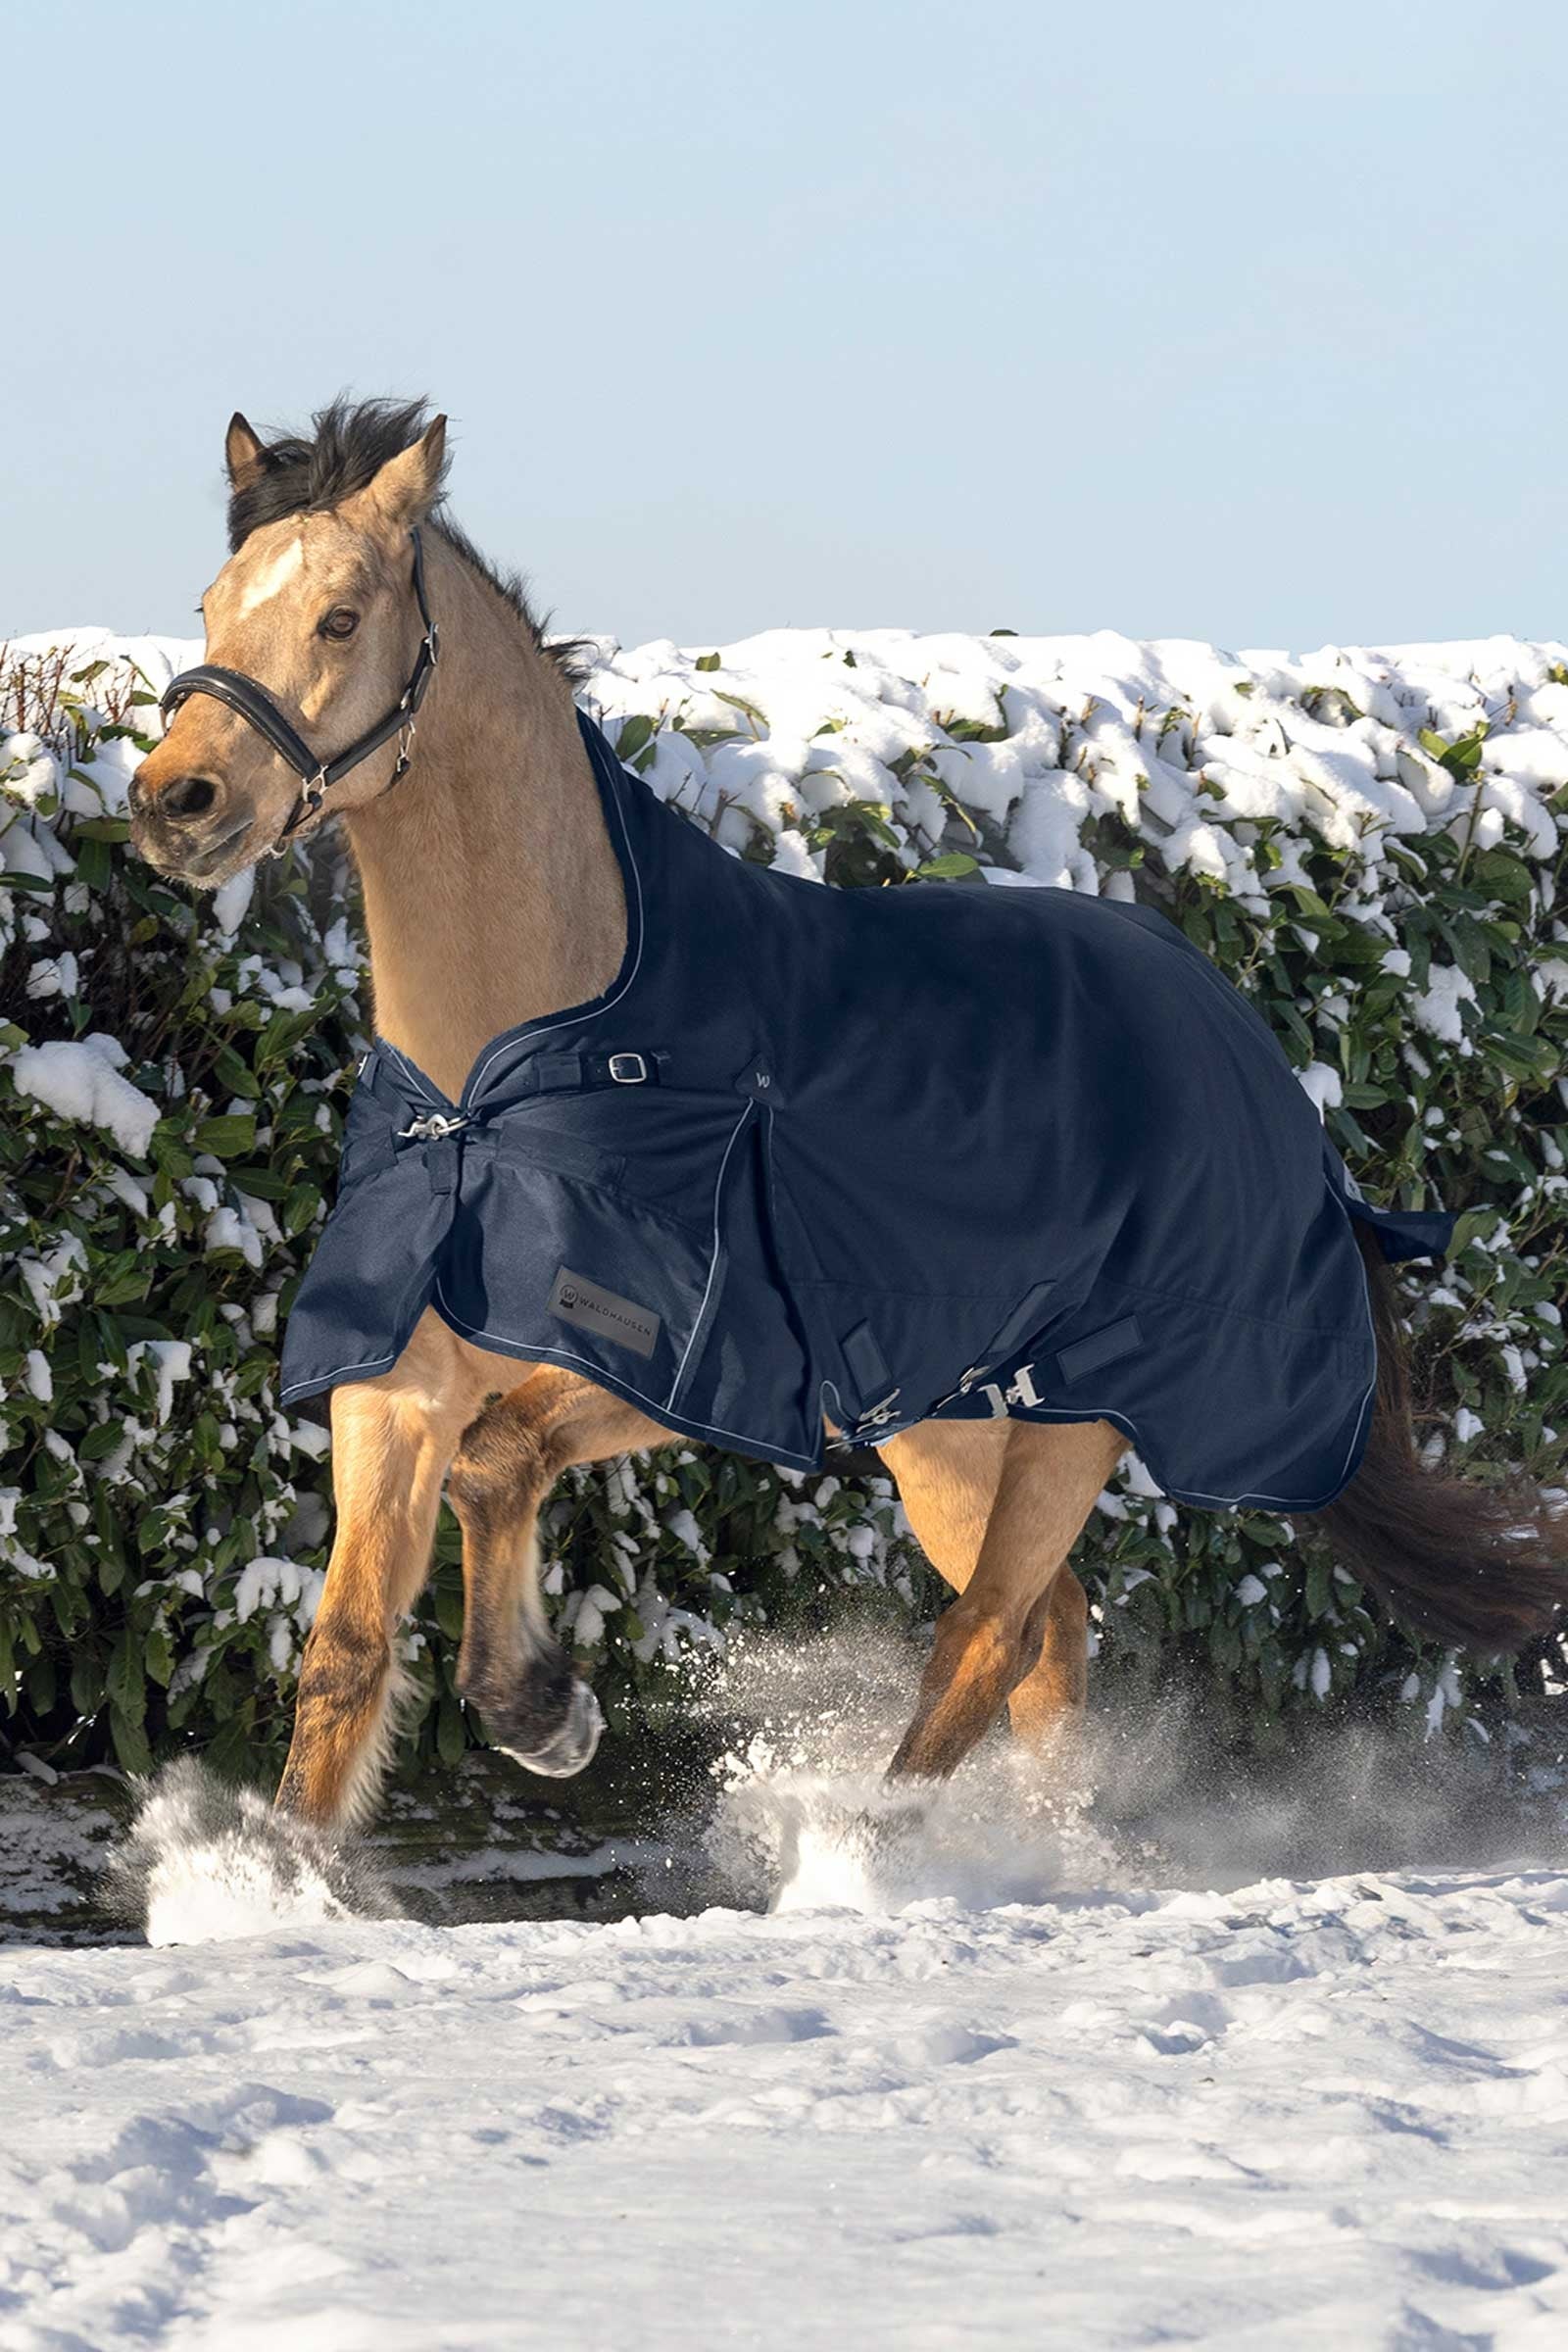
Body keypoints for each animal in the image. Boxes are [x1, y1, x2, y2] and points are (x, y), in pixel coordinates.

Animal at [128, 398, 1568, 1838]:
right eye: (210, 607)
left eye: (340, 617)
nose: (173, 803)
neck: (497, 1088)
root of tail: (1247, 1046)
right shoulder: (397, 1386)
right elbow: (345, 1655)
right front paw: (275, 1876)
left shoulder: (684, 1364)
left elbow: (500, 1459)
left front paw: (545, 1712)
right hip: (947, 1423)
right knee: (1049, 1634)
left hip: (1078, 1412)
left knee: (988, 1634)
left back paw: (883, 1848)